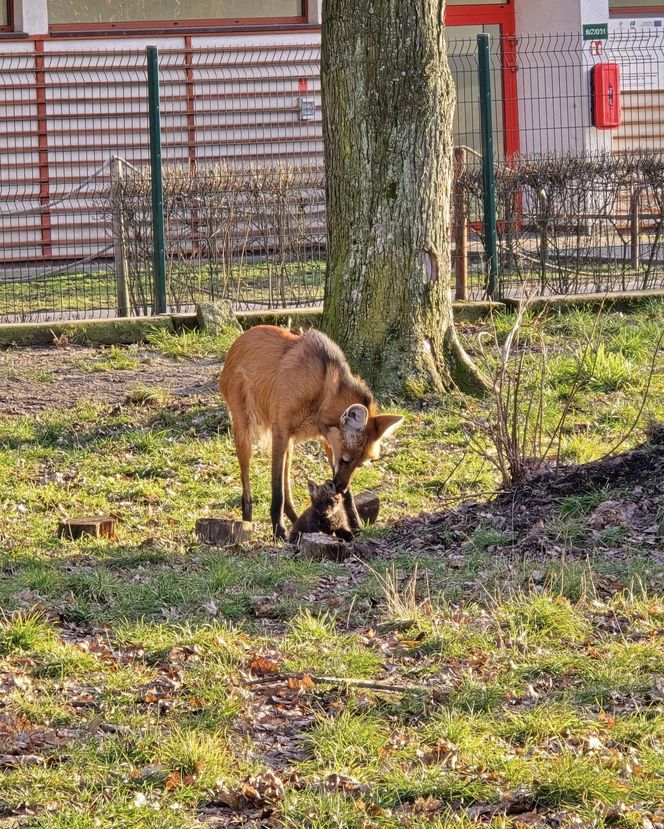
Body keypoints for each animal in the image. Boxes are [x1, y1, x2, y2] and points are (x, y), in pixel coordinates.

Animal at [220, 324, 402, 536]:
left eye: (360, 465)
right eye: (345, 460)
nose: (340, 487)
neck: (321, 392)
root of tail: (240, 339)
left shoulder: (327, 441)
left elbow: (344, 494)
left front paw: (356, 526)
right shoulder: (281, 429)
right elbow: (277, 489)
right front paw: (278, 530)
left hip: (289, 442)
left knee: (286, 481)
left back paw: (297, 520)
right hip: (245, 429)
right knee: (249, 480)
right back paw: (248, 521)